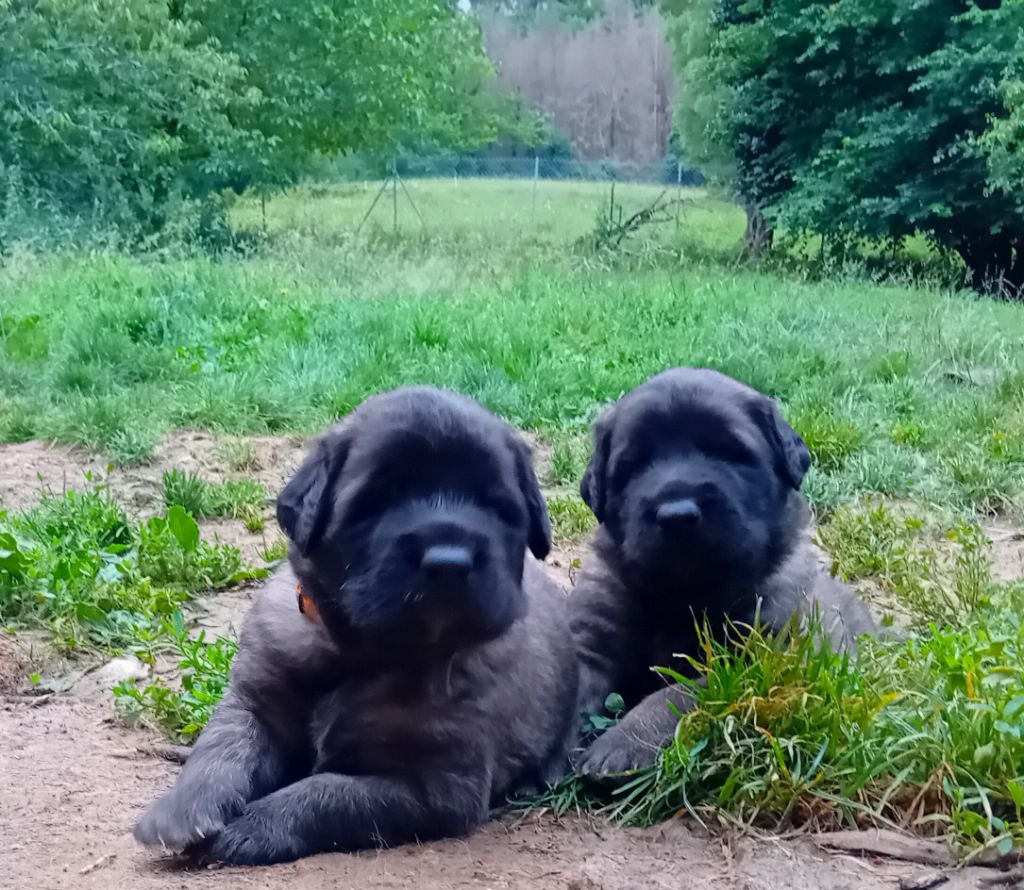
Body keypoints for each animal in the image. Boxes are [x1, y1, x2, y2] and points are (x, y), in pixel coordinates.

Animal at [135, 385, 581, 864]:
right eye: (377, 502)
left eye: (496, 507)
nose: (449, 563)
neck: (357, 657)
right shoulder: (255, 703)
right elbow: (224, 744)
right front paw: (182, 807)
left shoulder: (436, 785)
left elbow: (327, 793)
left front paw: (253, 826)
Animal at [569, 364, 872, 774]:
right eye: (633, 466)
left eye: (729, 452)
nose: (677, 515)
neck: (685, 594)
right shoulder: (593, 635)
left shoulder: (768, 660)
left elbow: (684, 690)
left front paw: (625, 740)